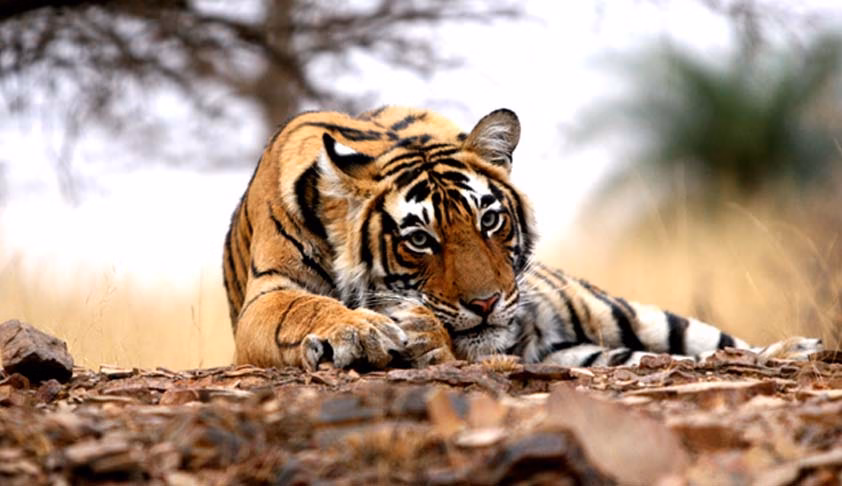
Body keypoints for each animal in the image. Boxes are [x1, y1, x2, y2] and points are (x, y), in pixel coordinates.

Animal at [223, 106, 822, 370]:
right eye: (419, 239)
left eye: (489, 220)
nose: (487, 303)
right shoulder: (267, 297)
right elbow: (304, 309)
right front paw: (363, 330)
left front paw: (418, 334)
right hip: (583, 350)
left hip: (617, 313)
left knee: (709, 345)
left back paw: (794, 348)